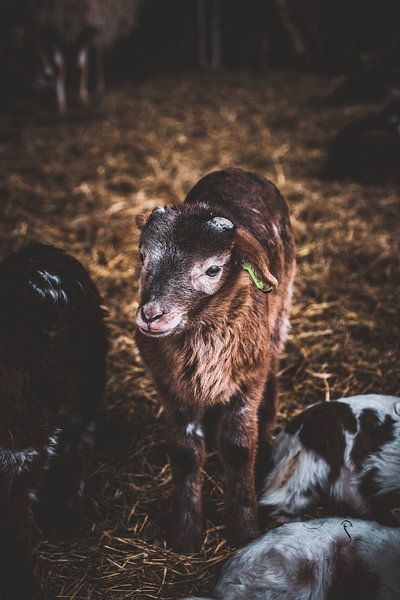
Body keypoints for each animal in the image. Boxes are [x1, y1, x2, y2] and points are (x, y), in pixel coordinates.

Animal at [136, 166, 296, 552]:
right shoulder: (171, 389)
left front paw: (244, 529)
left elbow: (238, 448)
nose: (150, 315)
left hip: (278, 320)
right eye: (142, 257)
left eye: (212, 270)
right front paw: (185, 533)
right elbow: (184, 452)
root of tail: (237, 170)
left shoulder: (247, 384)